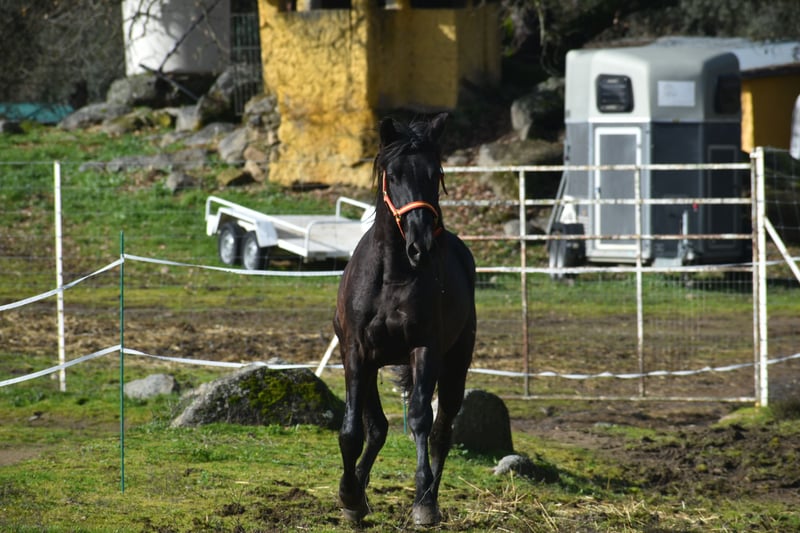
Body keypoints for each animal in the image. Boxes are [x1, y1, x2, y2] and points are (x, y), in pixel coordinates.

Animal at [333, 113, 477, 526]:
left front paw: (423, 502)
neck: (392, 275)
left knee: (442, 430)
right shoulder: (356, 353)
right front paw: (350, 497)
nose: (421, 246)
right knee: (377, 427)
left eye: (435, 173)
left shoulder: (425, 349)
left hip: (456, 364)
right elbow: (353, 430)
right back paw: (359, 489)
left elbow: (419, 420)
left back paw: (429, 496)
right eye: (392, 175)